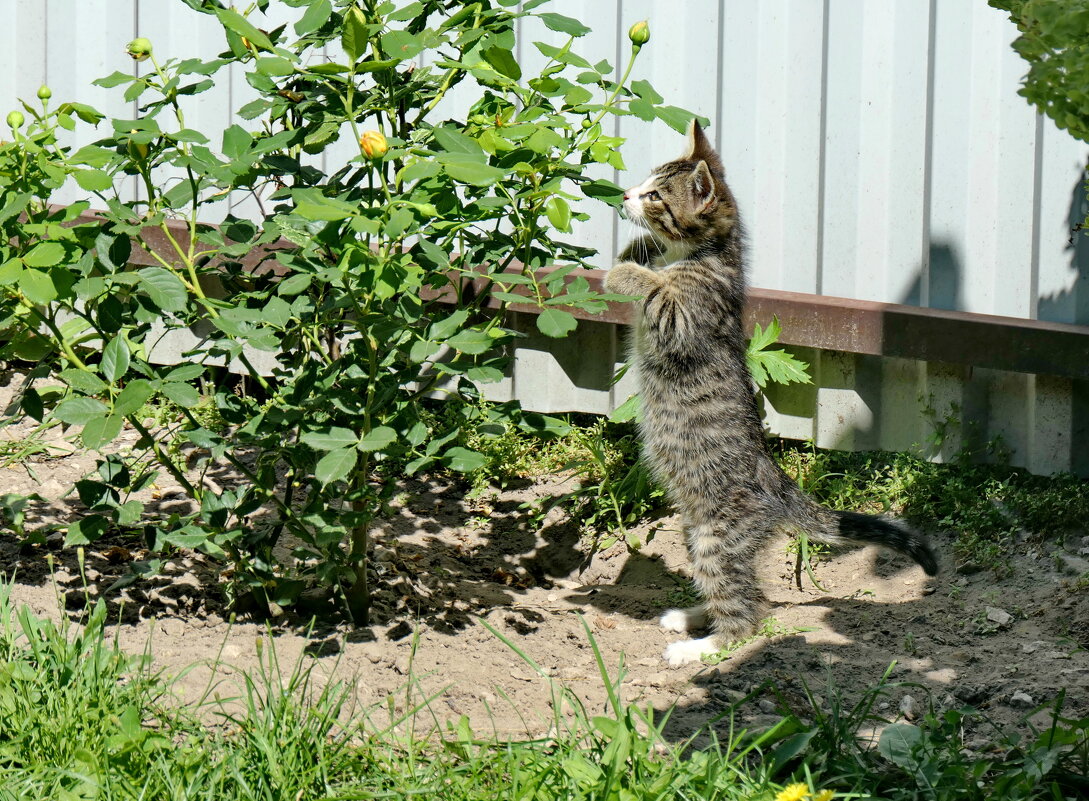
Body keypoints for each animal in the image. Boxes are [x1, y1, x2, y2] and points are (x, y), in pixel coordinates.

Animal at [605, 120, 936, 670]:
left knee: (749, 612)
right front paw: (634, 252)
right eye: (644, 181)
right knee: (735, 593)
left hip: (717, 537)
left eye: (655, 195)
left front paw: (624, 270)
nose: (624, 195)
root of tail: (777, 485)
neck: (704, 256)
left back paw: (700, 646)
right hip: (695, 531)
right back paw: (691, 615)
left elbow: (656, 292)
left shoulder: (685, 315)